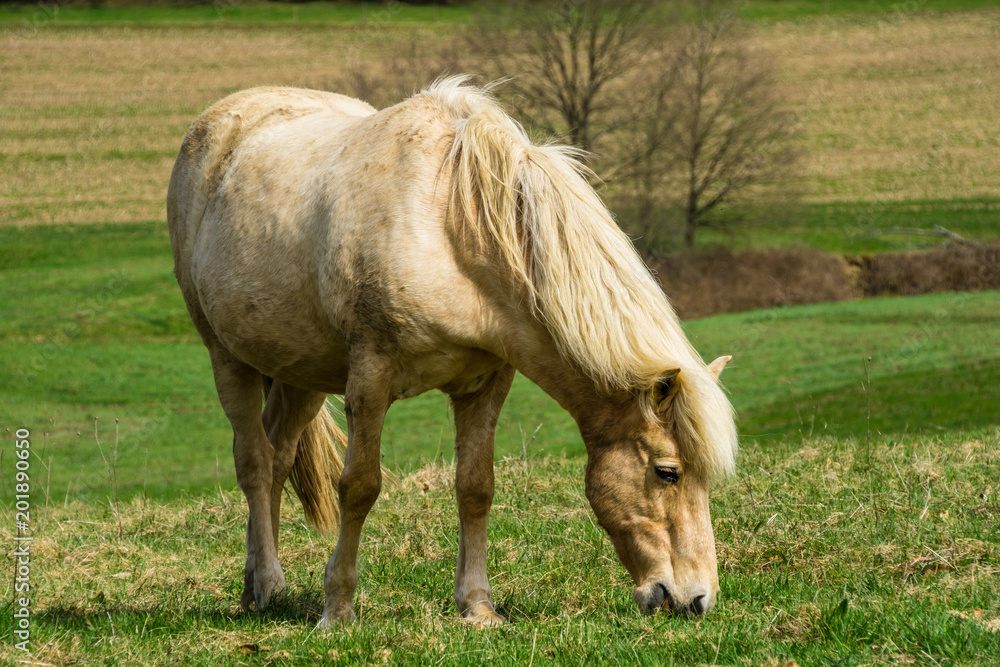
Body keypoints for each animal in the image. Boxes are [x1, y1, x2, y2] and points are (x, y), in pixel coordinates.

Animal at [168, 77, 740, 628]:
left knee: (279, 456)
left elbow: (475, 488)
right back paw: (266, 583)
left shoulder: (486, 383)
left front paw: (478, 607)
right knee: (254, 462)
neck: (451, 229)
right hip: (227, 358)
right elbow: (359, 487)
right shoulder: (369, 378)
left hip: (300, 372)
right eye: (667, 472)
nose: (695, 599)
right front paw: (338, 609)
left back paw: (260, 585)